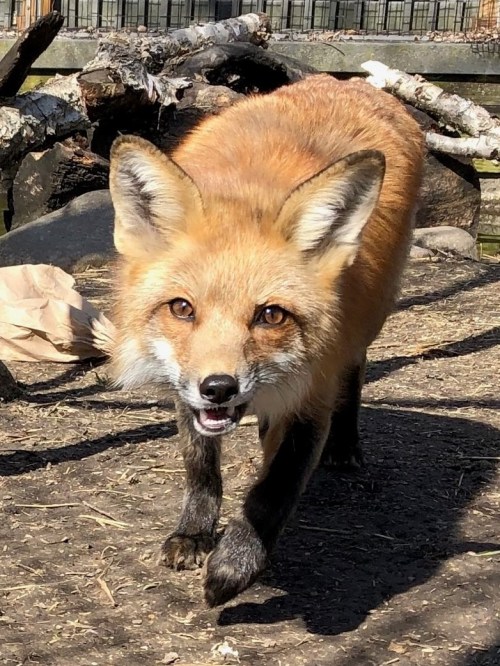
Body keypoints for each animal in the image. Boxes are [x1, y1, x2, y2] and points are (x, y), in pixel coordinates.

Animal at [108, 74, 424, 607]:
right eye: (182, 308)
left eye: (270, 315)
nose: (219, 388)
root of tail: (345, 81)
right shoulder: (184, 385)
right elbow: (201, 466)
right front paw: (195, 533)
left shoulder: (314, 392)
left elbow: (273, 491)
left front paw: (235, 566)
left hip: (370, 320)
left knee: (355, 370)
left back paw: (345, 442)